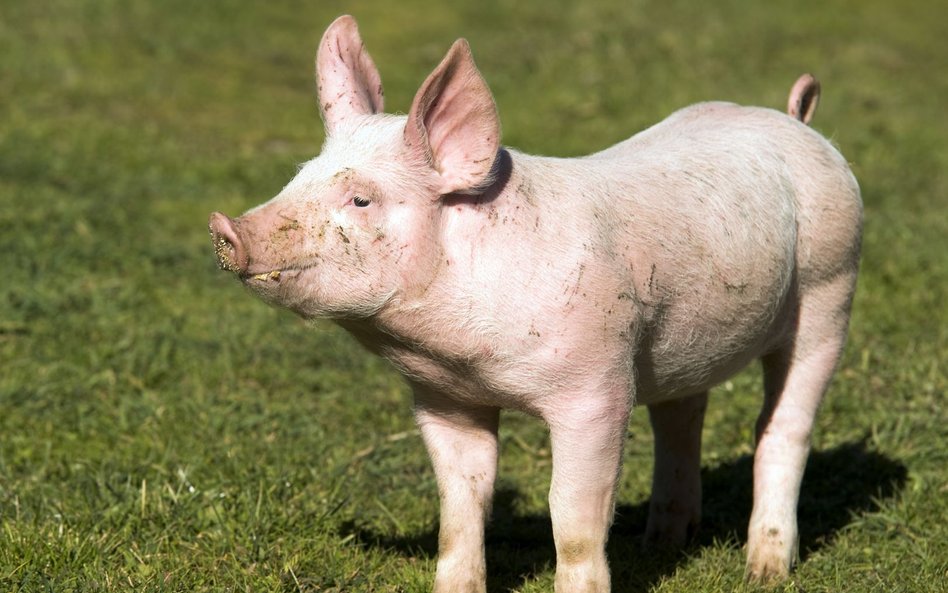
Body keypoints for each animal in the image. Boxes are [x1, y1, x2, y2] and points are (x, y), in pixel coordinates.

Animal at [211, 15, 864, 592]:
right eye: (299, 175)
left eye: (360, 199)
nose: (226, 227)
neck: (466, 355)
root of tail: (794, 121)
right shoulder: (446, 398)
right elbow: (461, 503)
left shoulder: (597, 388)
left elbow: (571, 514)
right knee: (682, 416)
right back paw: (661, 546)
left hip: (830, 288)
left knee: (782, 427)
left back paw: (763, 572)